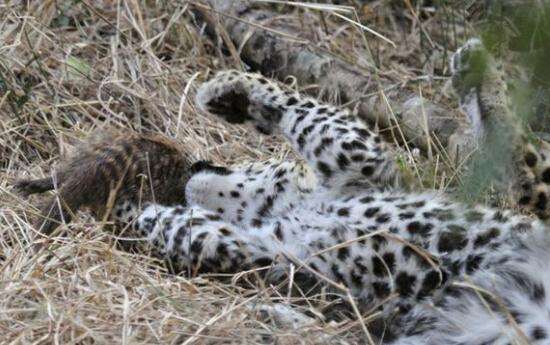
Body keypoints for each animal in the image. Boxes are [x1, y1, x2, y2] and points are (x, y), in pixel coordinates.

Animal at [17, 39, 550, 342]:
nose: (193, 165)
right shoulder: (263, 248)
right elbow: (187, 231)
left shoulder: (363, 162)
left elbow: (311, 113)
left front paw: (231, 89)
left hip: (534, 209)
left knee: (526, 166)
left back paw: (478, 72)